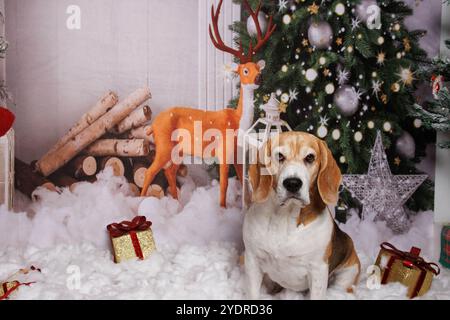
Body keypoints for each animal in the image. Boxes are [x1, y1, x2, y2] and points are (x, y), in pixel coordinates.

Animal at [244, 131, 360, 300]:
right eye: (279, 156)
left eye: (310, 157)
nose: (292, 183)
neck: (284, 217)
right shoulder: (252, 261)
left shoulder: (318, 270)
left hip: (347, 275)